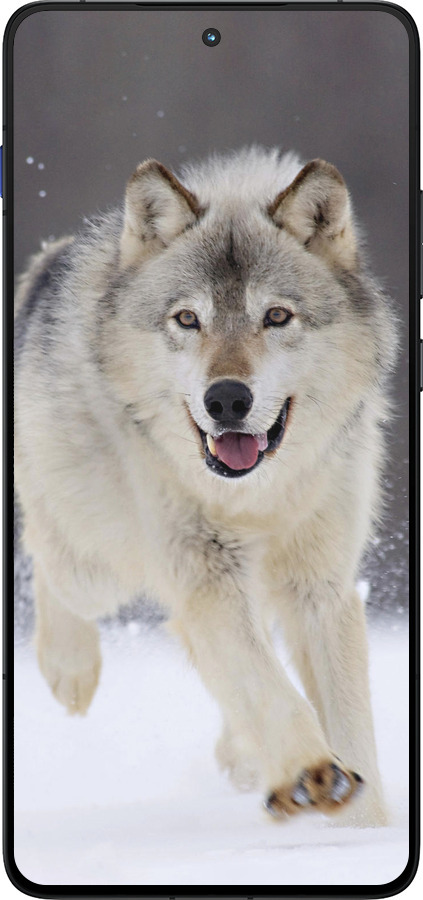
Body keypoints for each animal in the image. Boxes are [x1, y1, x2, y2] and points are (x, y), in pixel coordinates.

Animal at [14, 147, 396, 826]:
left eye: (276, 316)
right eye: (188, 319)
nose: (226, 400)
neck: (257, 497)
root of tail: (49, 260)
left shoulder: (320, 585)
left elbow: (348, 720)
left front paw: (364, 825)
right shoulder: (205, 574)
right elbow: (268, 687)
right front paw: (311, 772)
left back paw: (242, 757)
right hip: (99, 565)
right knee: (47, 556)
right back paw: (70, 671)